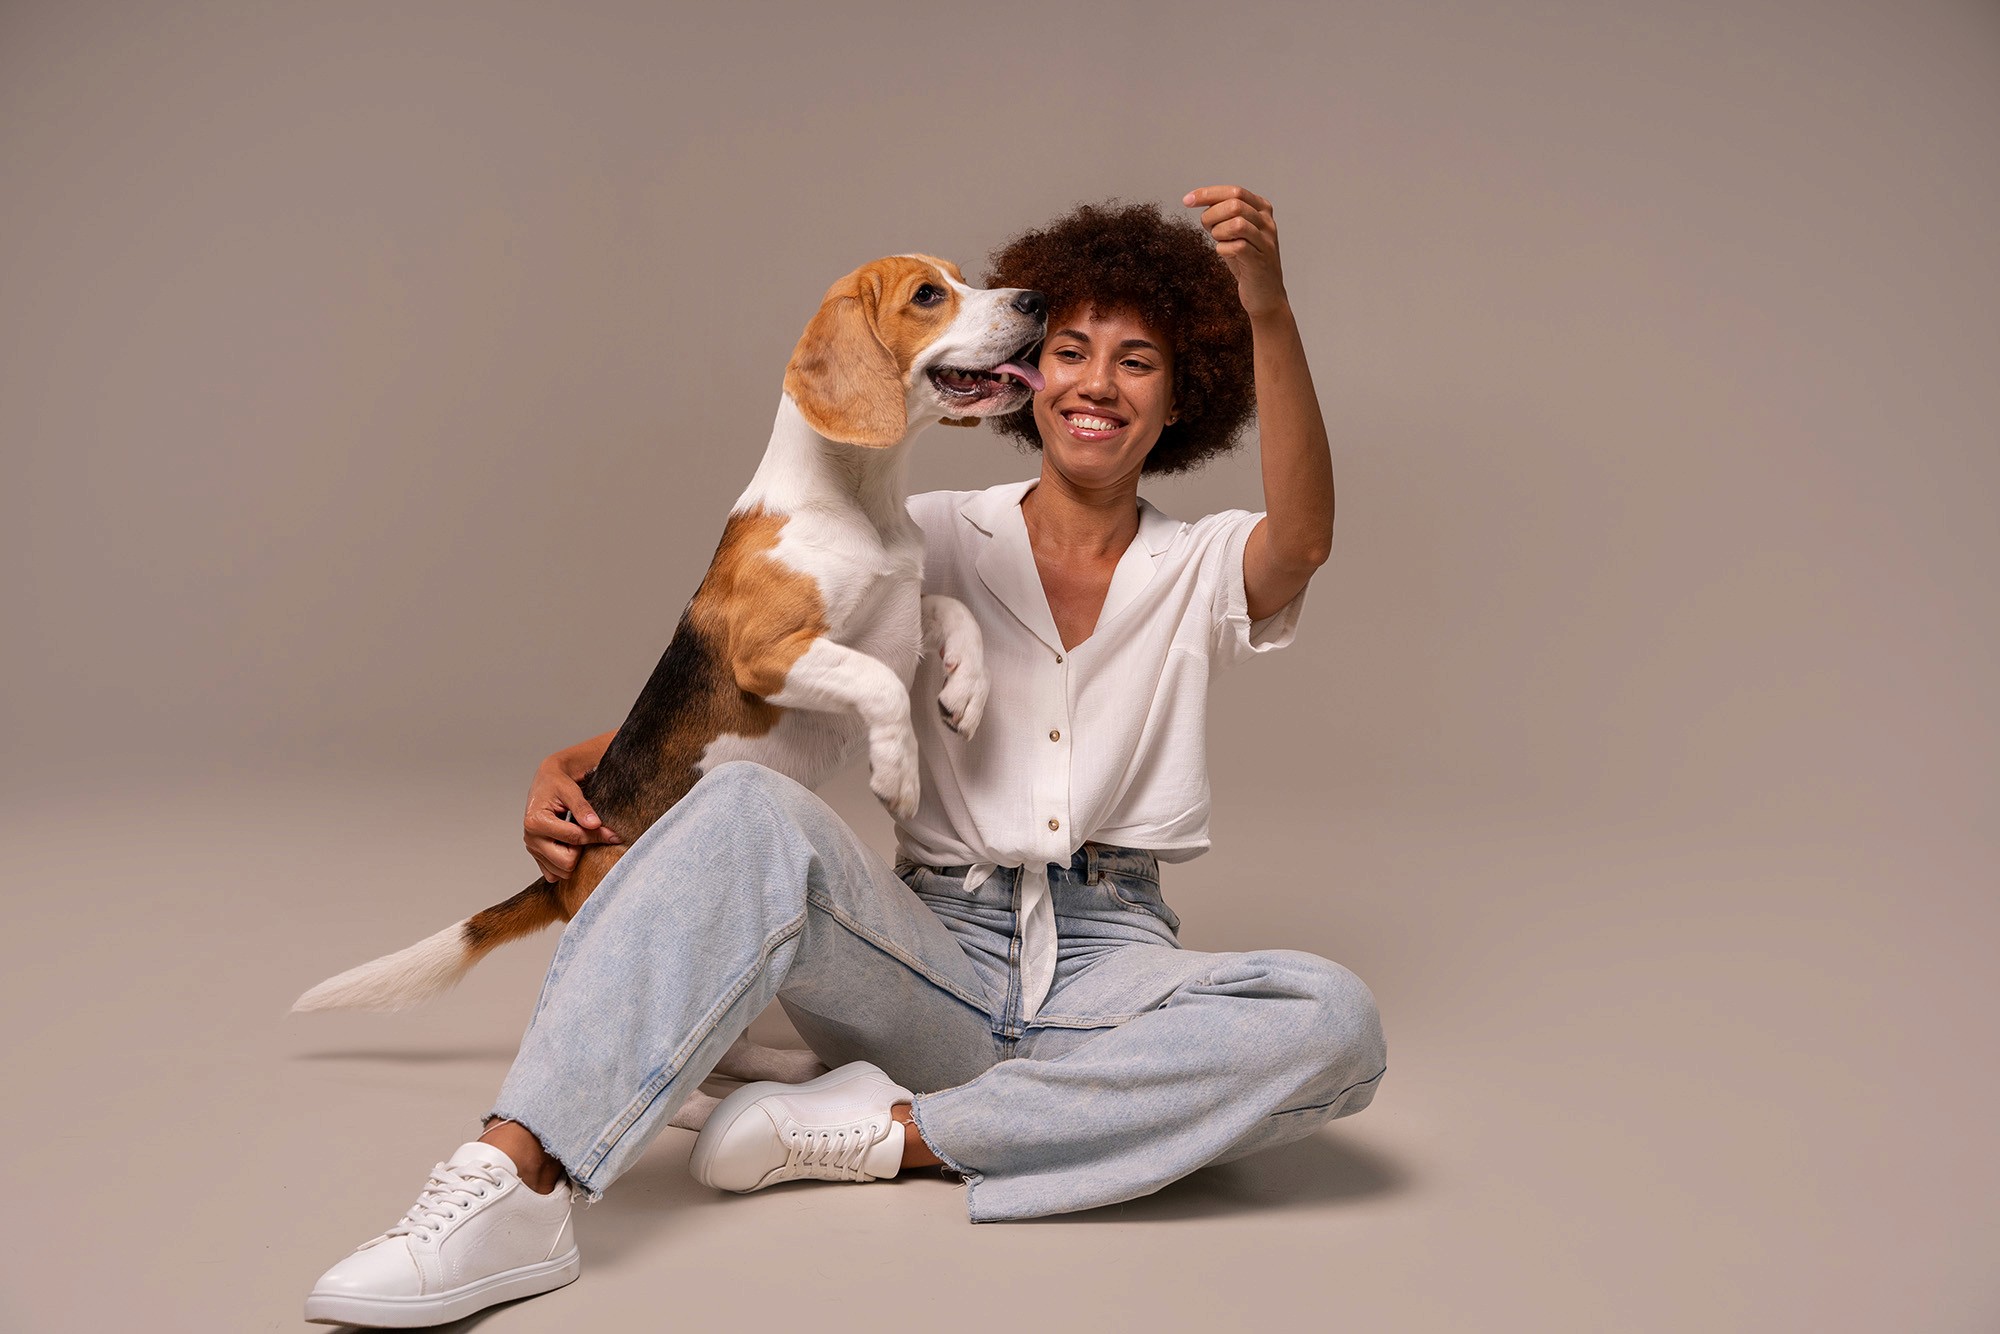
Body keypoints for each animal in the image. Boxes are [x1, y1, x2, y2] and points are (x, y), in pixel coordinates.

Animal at [292, 253, 1048, 1040]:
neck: (858, 499)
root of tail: (561, 879)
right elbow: (879, 681)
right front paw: (898, 771)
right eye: (928, 295)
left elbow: (951, 611)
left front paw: (967, 691)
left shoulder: (897, 616)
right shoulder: (768, 655)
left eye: (962, 278)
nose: (1037, 301)